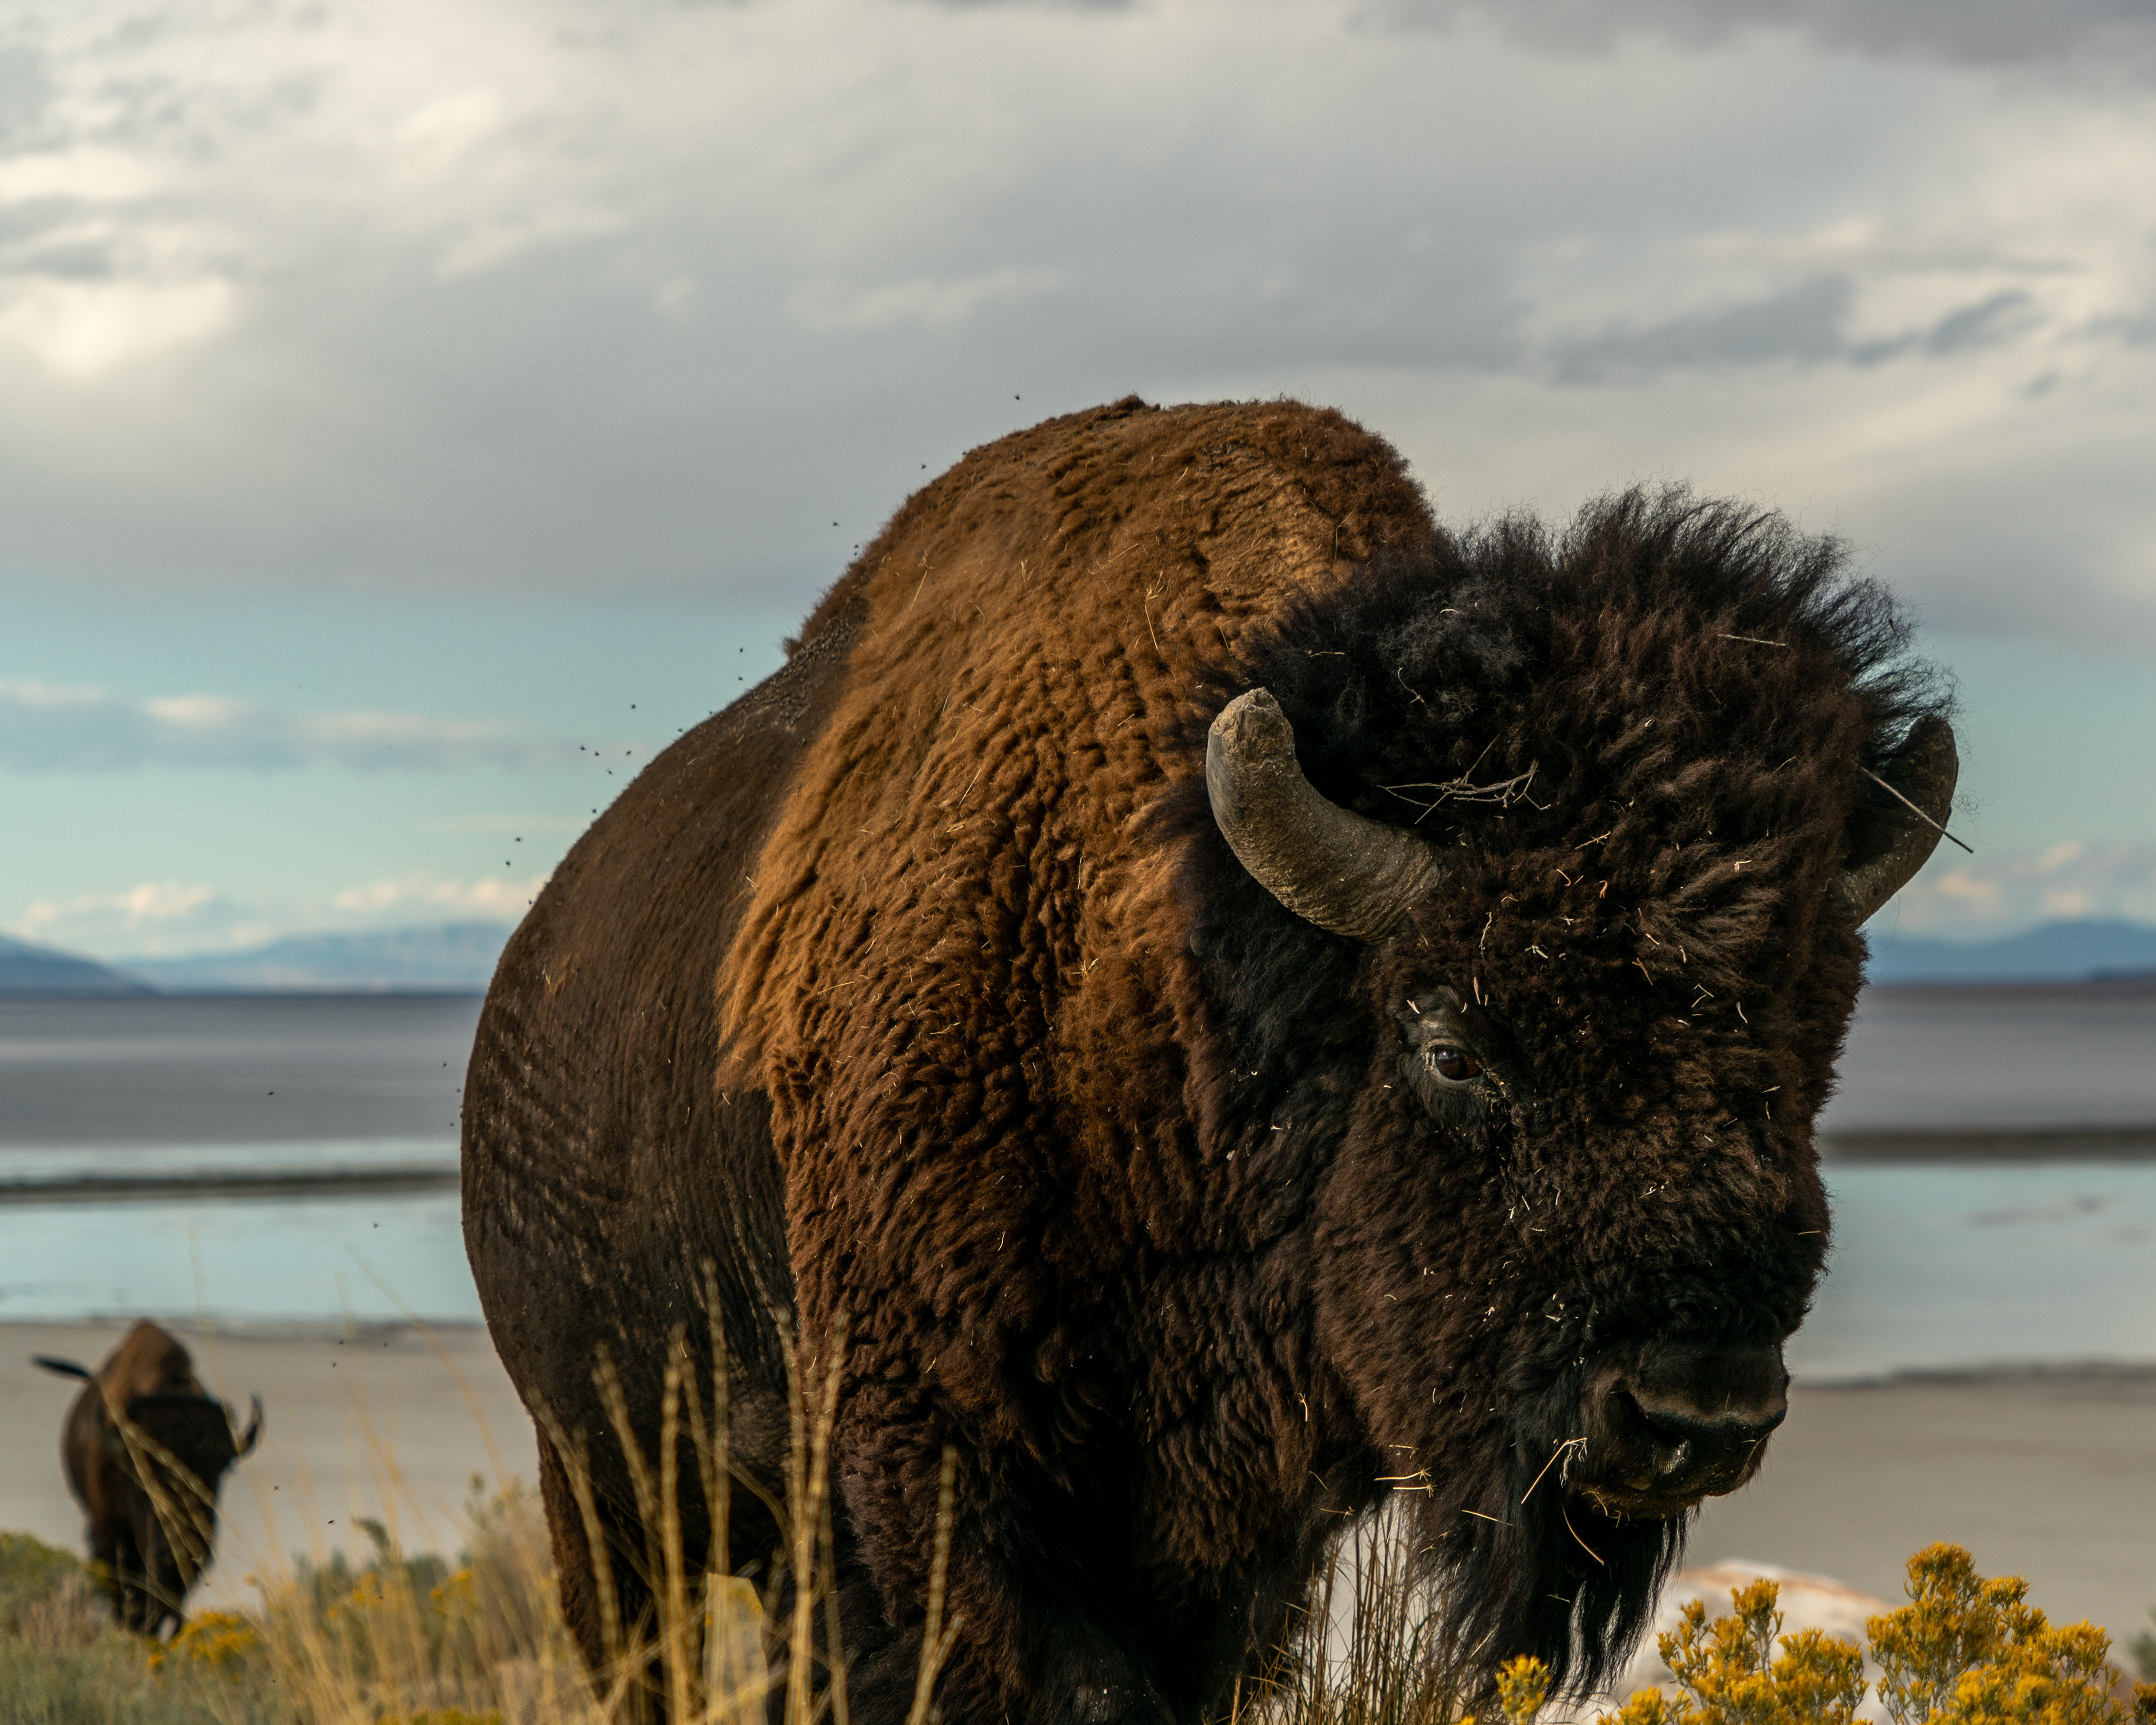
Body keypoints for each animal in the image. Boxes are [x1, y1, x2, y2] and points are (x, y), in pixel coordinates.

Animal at [462, 397, 1956, 1723]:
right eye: (1451, 1047)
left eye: (1807, 1050)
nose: (1693, 1408)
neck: (1167, 981)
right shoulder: (951, 1497)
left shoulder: (1237, 1548)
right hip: (605, 1493)